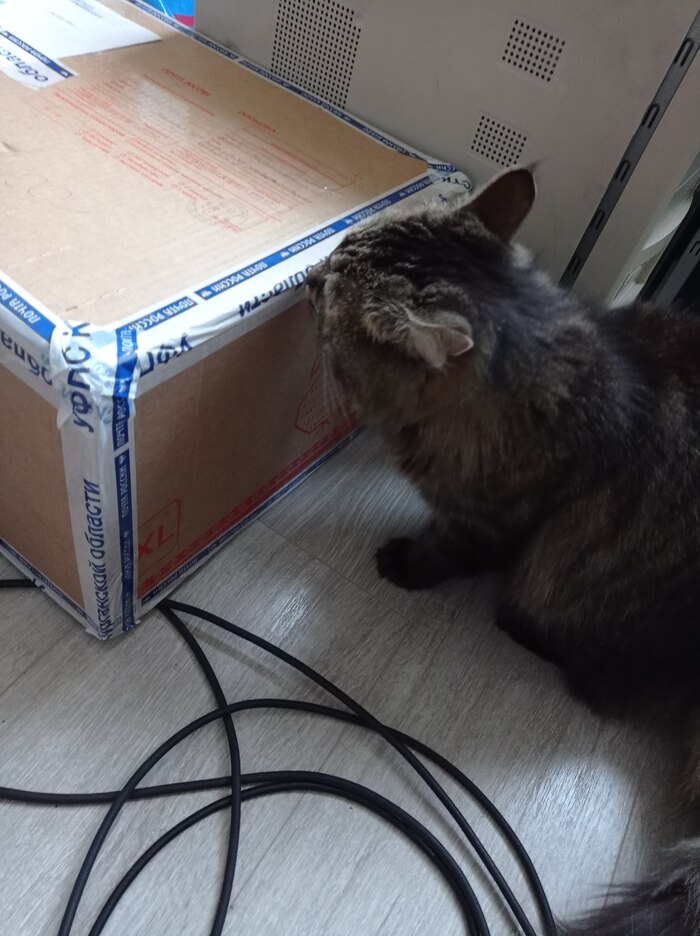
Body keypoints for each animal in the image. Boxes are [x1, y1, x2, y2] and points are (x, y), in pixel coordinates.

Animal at [306, 166, 700, 936]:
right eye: (333, 255)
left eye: (333, 282)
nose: (307, 274)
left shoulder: (491, 524)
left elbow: (444, 549)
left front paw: (404, 564)